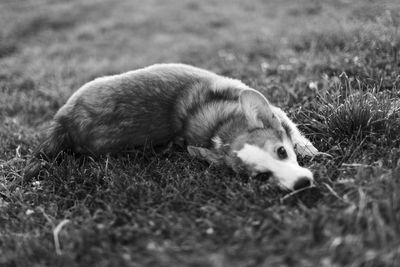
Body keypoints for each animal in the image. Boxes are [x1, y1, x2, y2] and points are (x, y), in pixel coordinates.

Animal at [25, 63, 318, 192]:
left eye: (281, 152)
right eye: (262, 177)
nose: (302, 184)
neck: (221, 129)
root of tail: (63, 121)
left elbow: (293, 131)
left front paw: (310, 151)